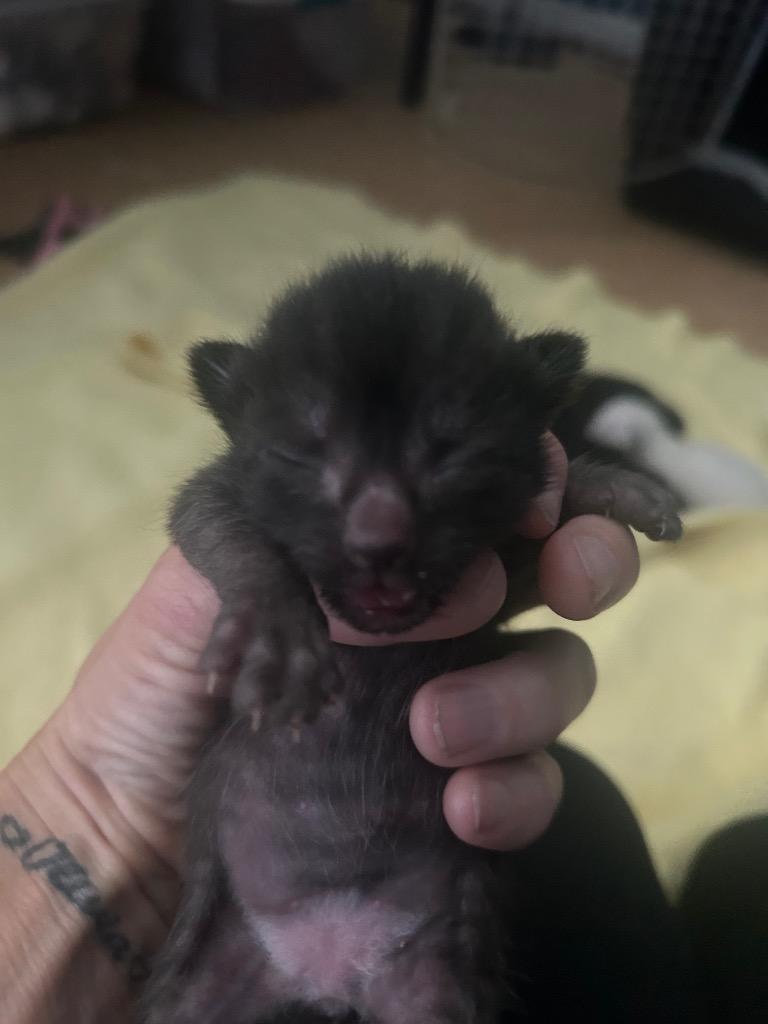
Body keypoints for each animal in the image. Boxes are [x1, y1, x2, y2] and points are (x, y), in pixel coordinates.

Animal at [140, 254, 682, 1023]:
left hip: (436, 978)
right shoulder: (214, 489)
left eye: (452, 453)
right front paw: (276, 631)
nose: (379, 540)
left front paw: (614, 486)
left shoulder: (487, 590)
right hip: (203, 974)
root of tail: (328, 972)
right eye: (302, 454)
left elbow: (536, 531)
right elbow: (227, 530)